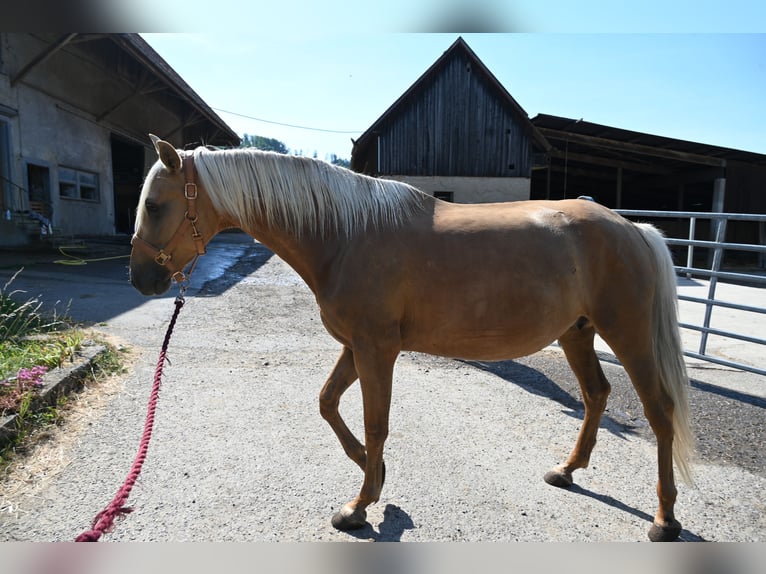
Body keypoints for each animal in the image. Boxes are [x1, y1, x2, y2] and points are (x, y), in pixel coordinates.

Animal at [129, 135, 694, 542]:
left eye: (155, 205)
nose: (140, 279)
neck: (345, 235)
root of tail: (635, 229)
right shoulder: (355, 347)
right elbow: (328, 404)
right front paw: (373, 476)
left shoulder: (377, 349)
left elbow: (375, 423)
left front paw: (358, 507)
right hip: (577, 334)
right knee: (597, 395)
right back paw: (568, 470)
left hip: (627, 333)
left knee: (659, 410)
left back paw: (665, 519)